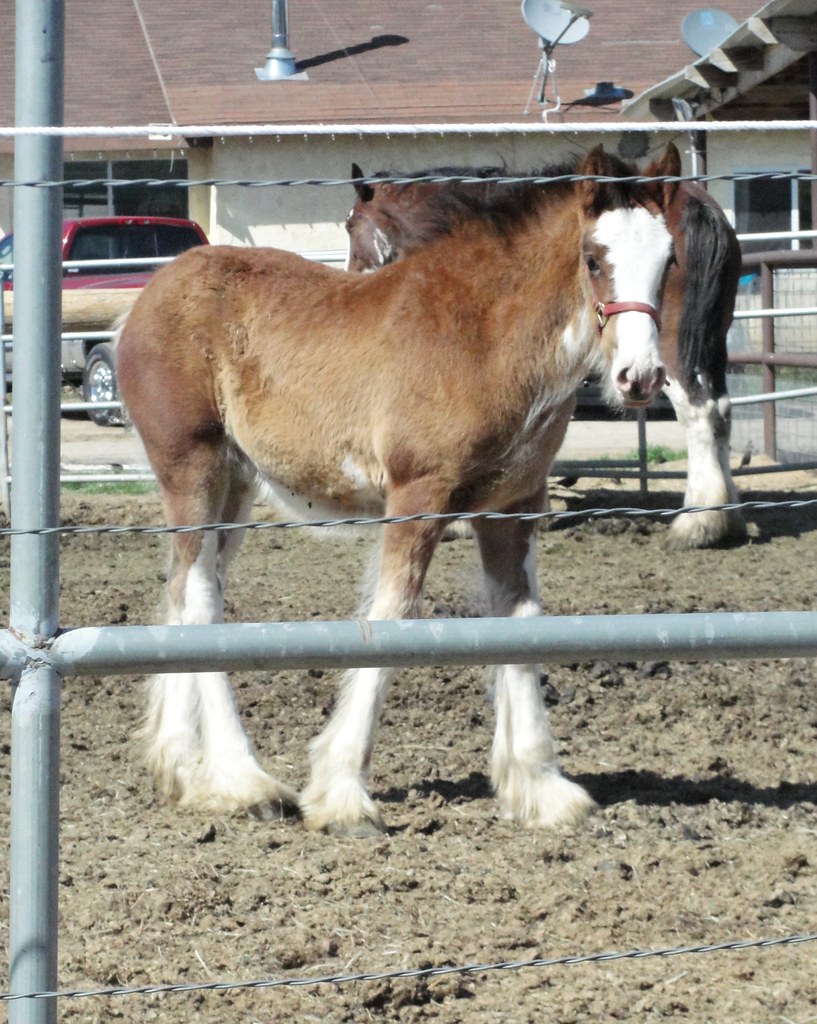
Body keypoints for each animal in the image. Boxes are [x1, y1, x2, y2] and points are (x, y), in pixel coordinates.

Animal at [117, 143, 679, 836]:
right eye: (594, 258)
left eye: (668, 260)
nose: (639, 377)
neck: (483, 334)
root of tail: (147, 297)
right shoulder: (419, 493)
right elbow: (392, 614)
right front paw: (340, 793)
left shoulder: (512, 504)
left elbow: (520, 618)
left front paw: (541, 788)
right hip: (192, 466)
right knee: (197, 597)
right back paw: (241, 780)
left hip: (236, 484)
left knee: (186, 586)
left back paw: (182, 769)